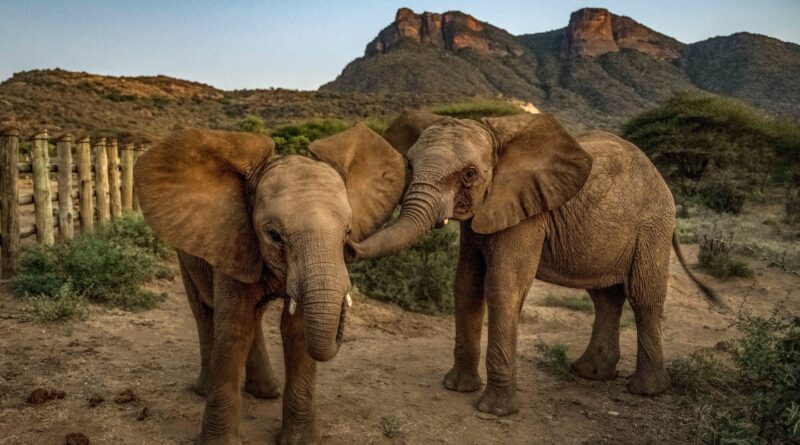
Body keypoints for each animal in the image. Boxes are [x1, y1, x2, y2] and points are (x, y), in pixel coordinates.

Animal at [134, 122, 406, 444]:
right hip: (186, 255)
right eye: (274, 235)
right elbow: (234, 328)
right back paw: (205, 389)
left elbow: (297, 331)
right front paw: (219, 442)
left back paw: (266, 392)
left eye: (348, 233)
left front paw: (302, 441)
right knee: (204, 312)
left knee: (255, 317)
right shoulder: (233, 241)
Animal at [348, 111, 720, 416]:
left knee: (644, 297)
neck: (496, 137)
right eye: (409, 166)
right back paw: (589, 373)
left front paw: (494, 411)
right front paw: (457, 388)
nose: (348, 244)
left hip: (652, 224)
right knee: (605, 297)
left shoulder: (527, 211)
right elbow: (466, 284)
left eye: (469, 174)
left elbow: (502, 287)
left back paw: (646, 391)